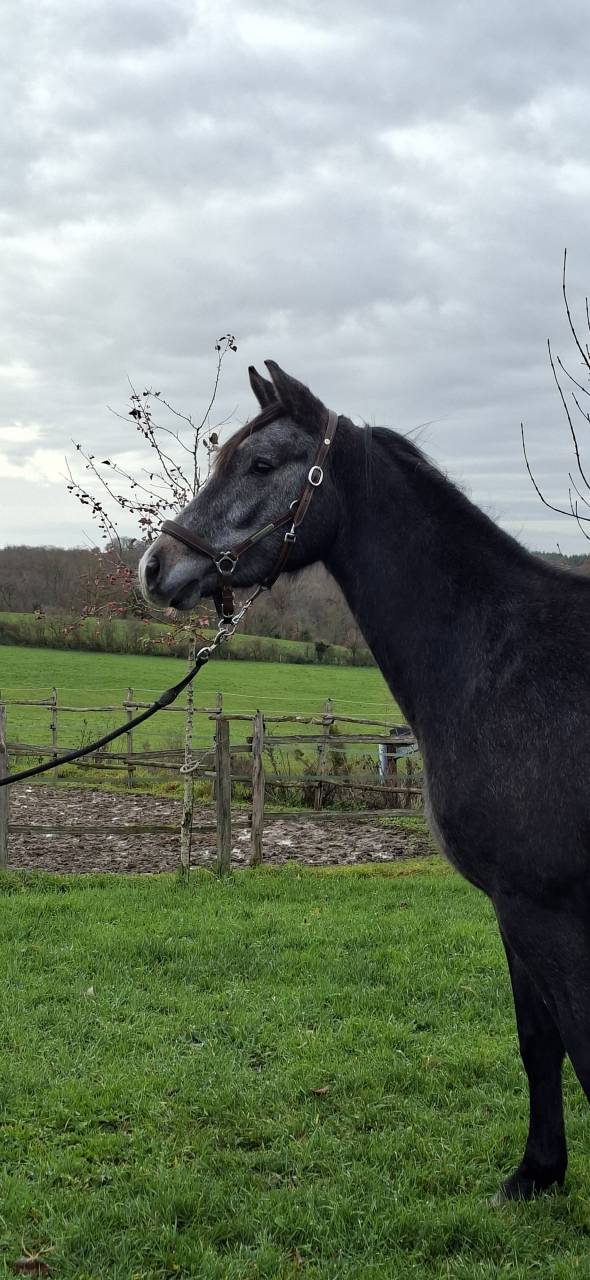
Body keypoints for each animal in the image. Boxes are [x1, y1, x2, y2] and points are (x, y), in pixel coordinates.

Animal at [139, 359, 590, 1202]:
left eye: (259, 464)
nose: (153, 567)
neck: (502, 654)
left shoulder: (547, 908)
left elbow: (581, 1048)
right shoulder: (515, 909)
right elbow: (538, 1042)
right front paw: (537, 1172)